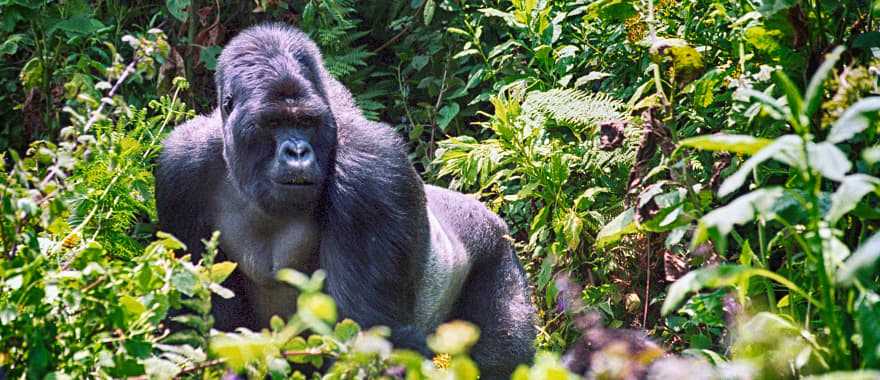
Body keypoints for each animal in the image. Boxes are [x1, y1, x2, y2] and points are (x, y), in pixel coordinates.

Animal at [155, 24, 532, 380]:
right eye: (273, 122)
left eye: (306, 122)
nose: (297, 152)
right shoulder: (179, 167)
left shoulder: (371, 170)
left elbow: (364, 336)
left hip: (498, 250)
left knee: (503, 359)